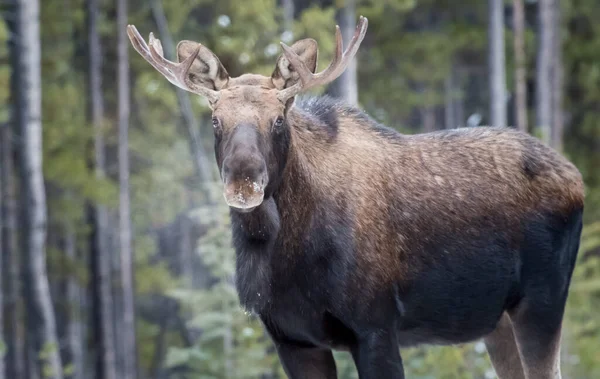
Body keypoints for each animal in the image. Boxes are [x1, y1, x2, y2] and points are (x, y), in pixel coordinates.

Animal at [129, 15, 584, 379]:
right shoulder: (293, 339)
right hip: (495, 322)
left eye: (279, 119)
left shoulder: (375, 327)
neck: (283, 257)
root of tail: (576, 177)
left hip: (542, 299)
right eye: (214, 119)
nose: (244, 181)